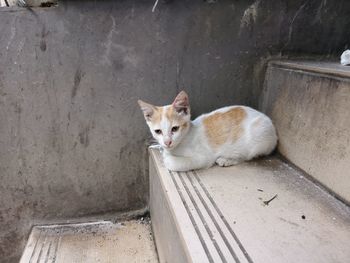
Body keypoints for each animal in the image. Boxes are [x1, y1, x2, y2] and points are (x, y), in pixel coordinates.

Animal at [138, 92, 278, 172]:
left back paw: (227, 160)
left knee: (246, 155)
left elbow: (175, 163)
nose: (167, 142)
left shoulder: (204, 158)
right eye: (158, 131)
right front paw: (161, 149)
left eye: (175, 128)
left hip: (258, 139)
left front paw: (167, 157)